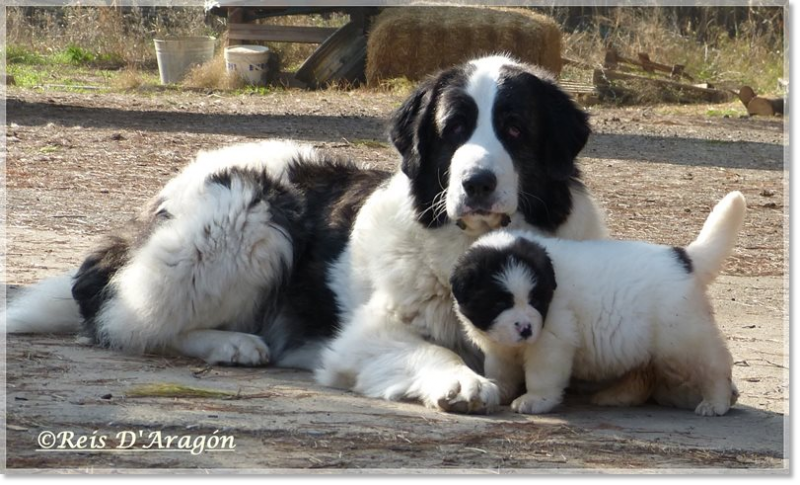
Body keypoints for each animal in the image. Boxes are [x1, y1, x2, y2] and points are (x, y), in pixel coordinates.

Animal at [4, 55, 608, 412]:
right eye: (454, 129)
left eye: (514, 129)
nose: (477, 182)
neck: (465, 243)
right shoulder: (364, 336)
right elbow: (429, 349)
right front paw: (460, 381)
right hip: (249, 216)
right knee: (125, 318)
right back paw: (232, 343)